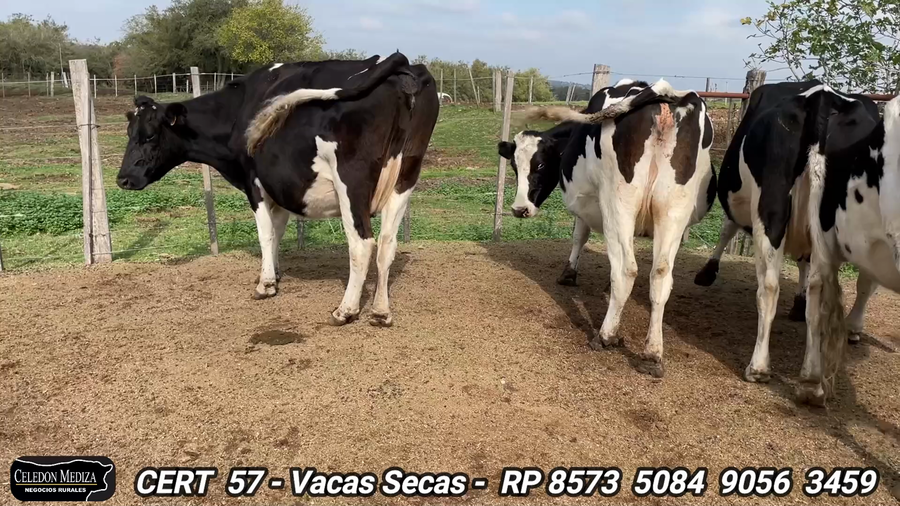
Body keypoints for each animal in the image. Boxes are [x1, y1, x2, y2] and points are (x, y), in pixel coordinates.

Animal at [116, 53, 439, 327]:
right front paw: (276, 272)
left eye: (150, 136)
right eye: (130, 133)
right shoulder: (281, 186)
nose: (123, 179)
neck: (237, 110)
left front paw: (266, 284)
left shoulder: (254, 182)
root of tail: (403, 67)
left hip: (351, 180)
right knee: (387, 243)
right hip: (406, 176)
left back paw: (345, 310)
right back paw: (381, 311)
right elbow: (279, 231)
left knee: (362, 243)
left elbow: (266, 233)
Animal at [499, 79, 716, 377]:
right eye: (513, 166)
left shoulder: (588, 203)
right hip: (673, 208)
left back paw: (605, 335)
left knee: (626, 269)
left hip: (618, 202)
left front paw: (569, 273)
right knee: (660, 275)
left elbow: (579, 236)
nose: (519, 209)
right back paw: (652, 354)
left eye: (540, 164)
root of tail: (663, 95)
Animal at [693, 81, 877, 347]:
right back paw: (853, 327)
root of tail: (823, 98)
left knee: (769, 286)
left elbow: (727, 228)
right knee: (866, 279)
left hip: (771, 207)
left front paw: (707, 272)